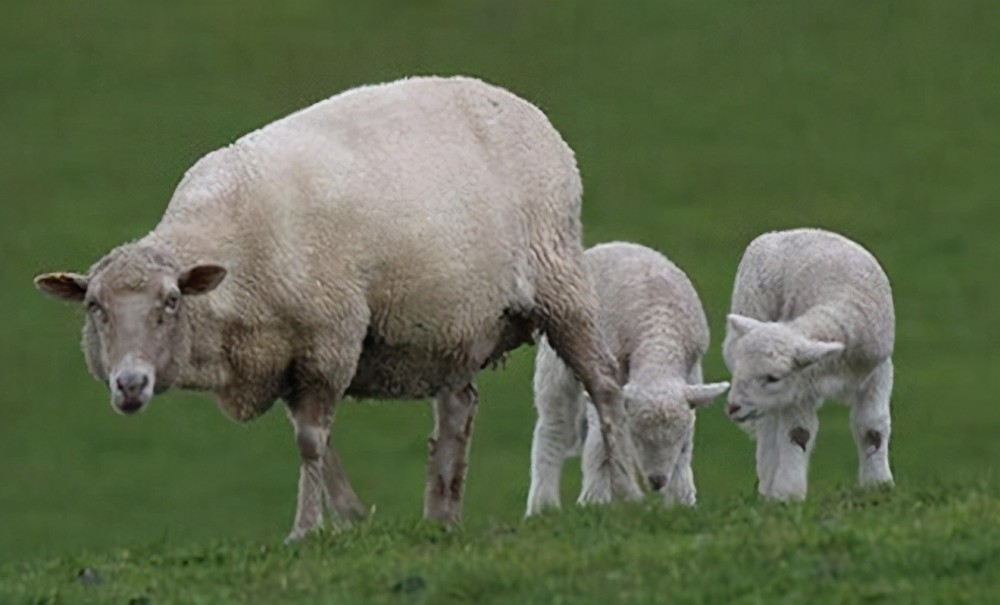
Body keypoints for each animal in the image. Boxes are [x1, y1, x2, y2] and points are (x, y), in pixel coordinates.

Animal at [35, 75, 640, 544]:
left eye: (169, 302)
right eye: (94, 307)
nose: (130, 383)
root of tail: (521, 105)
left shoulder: (330, 338)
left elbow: (311, 441)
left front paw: (307, 530)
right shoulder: (284, 358)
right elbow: (319, 448)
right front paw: (350, 517)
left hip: (561, 280)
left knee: (604, 383)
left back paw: (630, 492)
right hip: (454, 325)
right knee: (458, 411)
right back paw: (441, 518)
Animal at [528, 241, 732, 516]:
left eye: (678, 436)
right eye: (637, 436)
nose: (657, 482)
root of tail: (608, 244)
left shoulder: (691, 374)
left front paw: (681, 500)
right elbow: (600, 444)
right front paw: (593, 501)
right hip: (558, 363)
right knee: (554, 430)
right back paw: (542, 508)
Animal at [720, 228, 900, 500]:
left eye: (773, 378)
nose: (732, 407)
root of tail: (783, 232)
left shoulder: (878, 370)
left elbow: (873, 427)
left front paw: (878, 485)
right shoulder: (802, 384)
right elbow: (798, 432)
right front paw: (787, 494)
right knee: (768, 426)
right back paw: (767, 483)